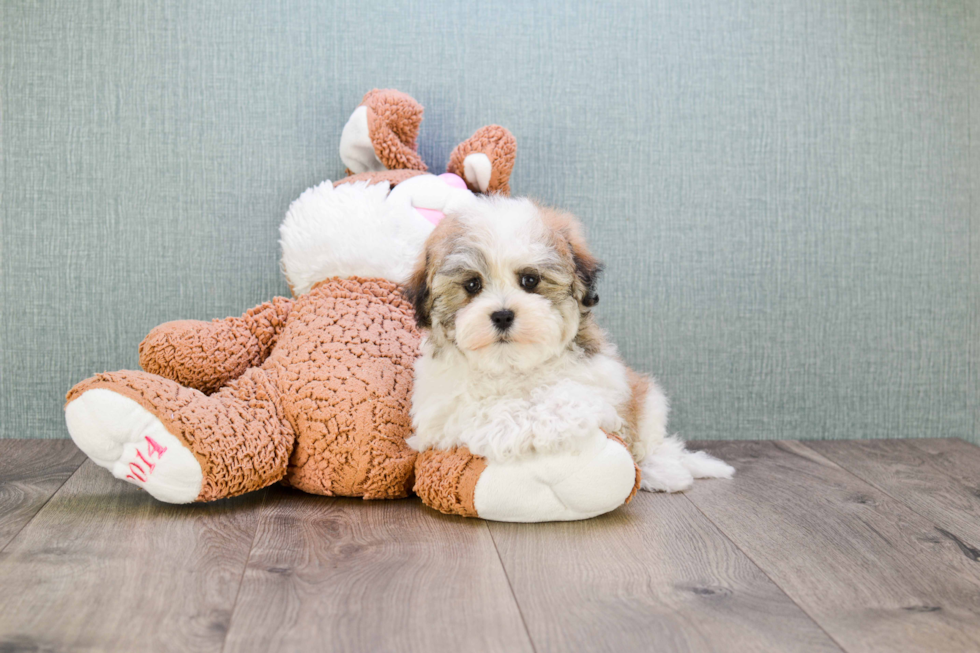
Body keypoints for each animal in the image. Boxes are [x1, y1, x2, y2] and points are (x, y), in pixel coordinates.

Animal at [402, 196, 732, 492]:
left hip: (650, 401)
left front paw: (539, 426)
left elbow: (567, 397)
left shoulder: (603, 383)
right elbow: (481, 409)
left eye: (530, 280)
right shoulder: (439, 411)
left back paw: (664, 472)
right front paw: (511, 429)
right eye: (472, 285)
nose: (503, 315)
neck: (513, 366)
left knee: (651, 446)